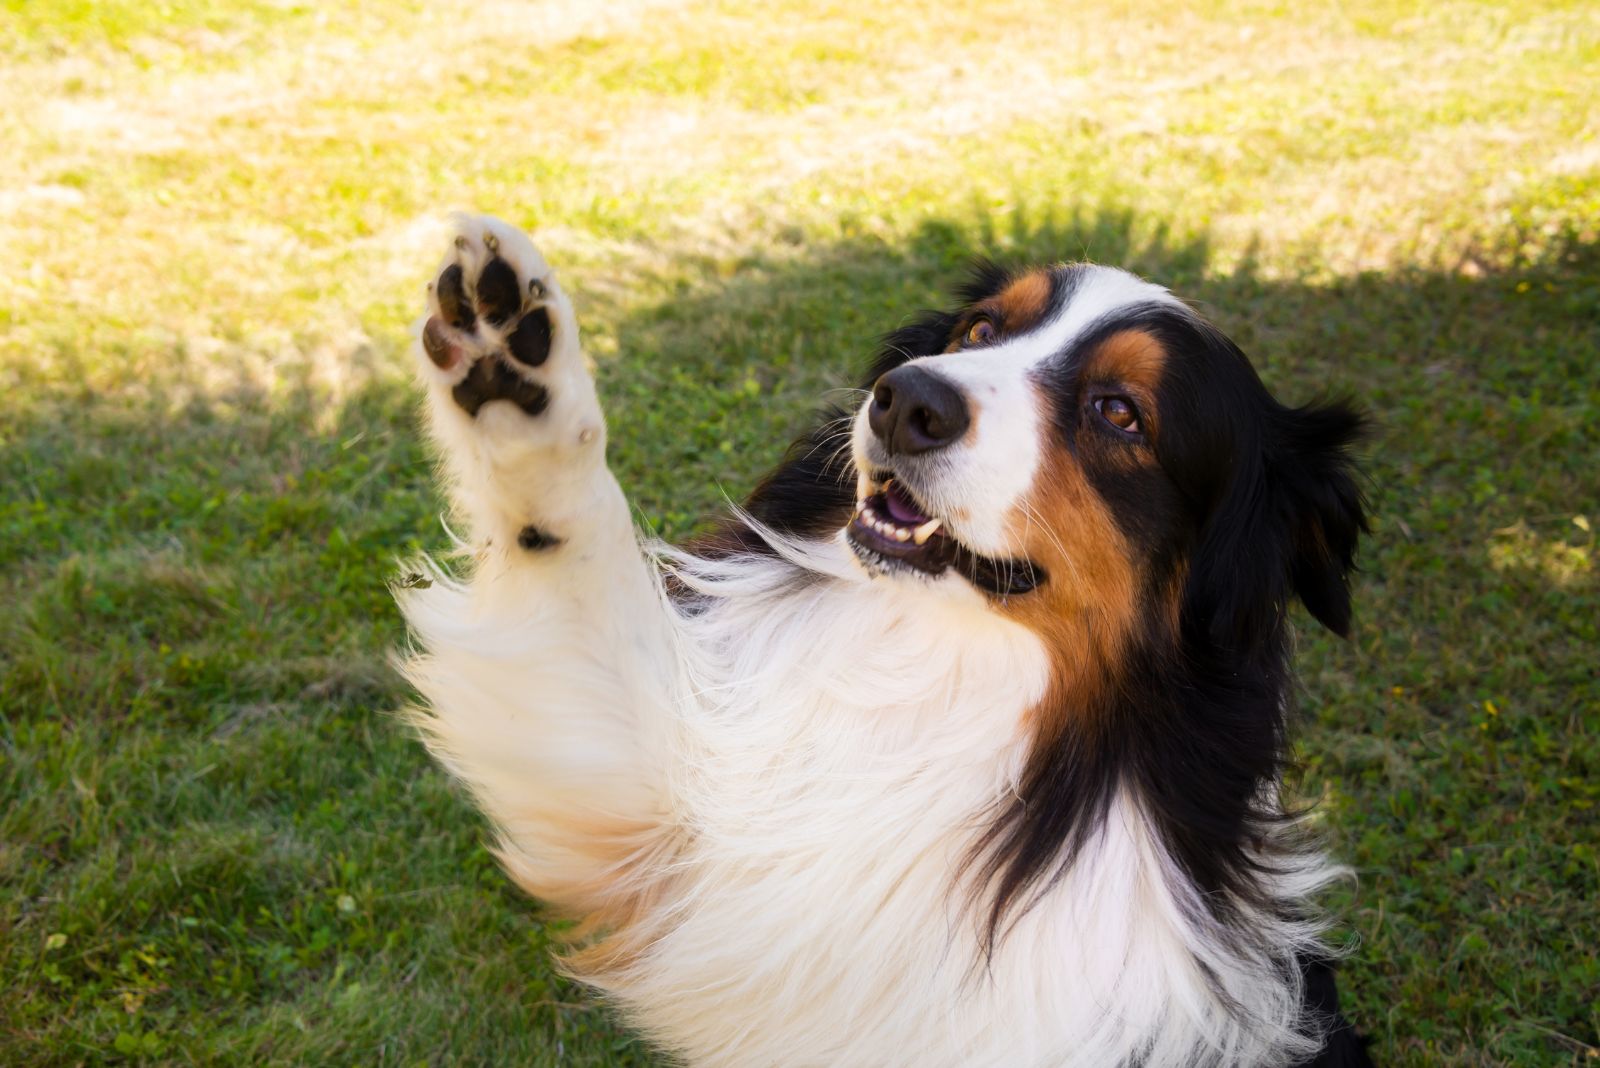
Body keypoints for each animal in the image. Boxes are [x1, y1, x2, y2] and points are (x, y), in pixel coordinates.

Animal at [396, 217, 1376, 1068]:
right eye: (981, 329)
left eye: (1120, 413)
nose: (909, 400)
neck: (940, 668)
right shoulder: (678, 848)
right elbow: (574, 568)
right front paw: (513, 379)